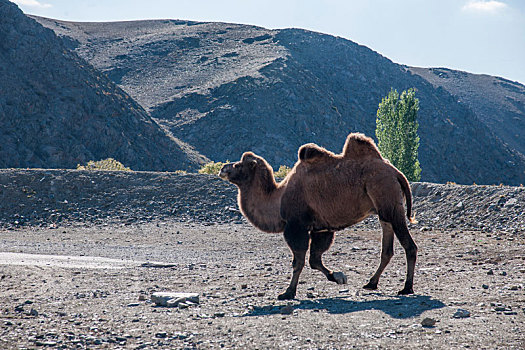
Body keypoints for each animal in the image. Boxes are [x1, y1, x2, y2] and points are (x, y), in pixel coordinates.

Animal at [218, 133, 418, 300]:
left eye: (238, 165)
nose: (223, 168)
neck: (278, 198)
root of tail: (396, 172)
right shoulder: (321, 228)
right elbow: (314, 259)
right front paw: (338, 277)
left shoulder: (296, 226)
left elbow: (299, 262)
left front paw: (288, 293)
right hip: (384, 210)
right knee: (387, 249)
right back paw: (371, 283)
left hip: (388, 200)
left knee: (409, 245)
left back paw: (406, 288)